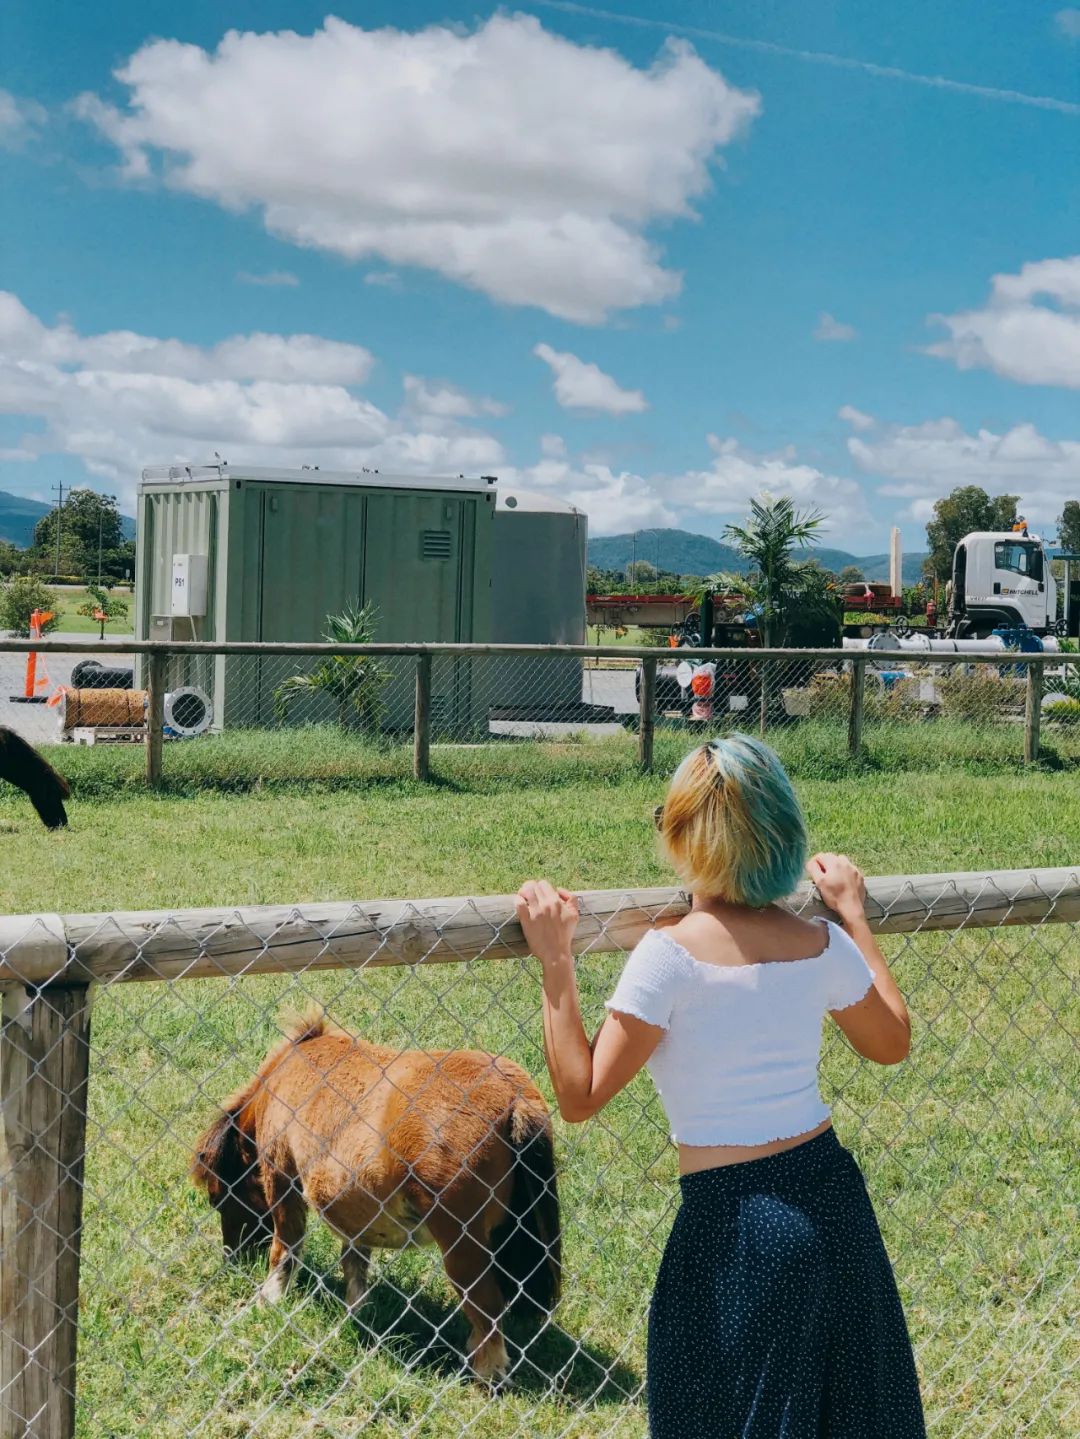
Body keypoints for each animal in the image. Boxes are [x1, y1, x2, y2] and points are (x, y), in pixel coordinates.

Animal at [192, 1013, 560, 1381]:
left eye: (219, 1199)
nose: (234, 1258)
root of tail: (514, 1099)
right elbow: (354, 1262)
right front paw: (357, 1311)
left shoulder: (281, 1178)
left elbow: (286, 1249)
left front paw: (269, 1298)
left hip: (462, 1245)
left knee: (486, 1309)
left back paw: (485, 1372)